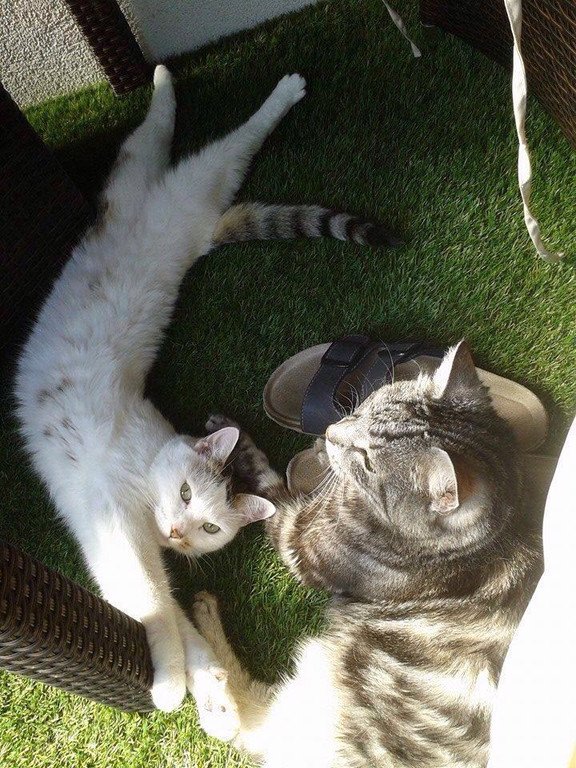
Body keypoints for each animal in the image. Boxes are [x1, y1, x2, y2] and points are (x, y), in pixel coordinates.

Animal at [14, 65, 398, 720]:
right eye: (187, 492)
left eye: (212, 528)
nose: (176, 533)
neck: (148, 469)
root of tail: (192, 232)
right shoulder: (115, 525)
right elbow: (148, 597)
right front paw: (170, 681)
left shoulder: (131, 542)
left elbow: (168, 603)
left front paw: (203, 675)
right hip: (184, 187)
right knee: (197, 145)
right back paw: (257, 89)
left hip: (168, 188)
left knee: (157, 143)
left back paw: (171, 82)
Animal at [192, 341, 543, 767]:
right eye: (364, 407)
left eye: (366, 458)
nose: (329, 431)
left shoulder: (300, 540)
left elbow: (272, 491)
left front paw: (245, 452)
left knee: (238, 725)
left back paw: (211, 667)